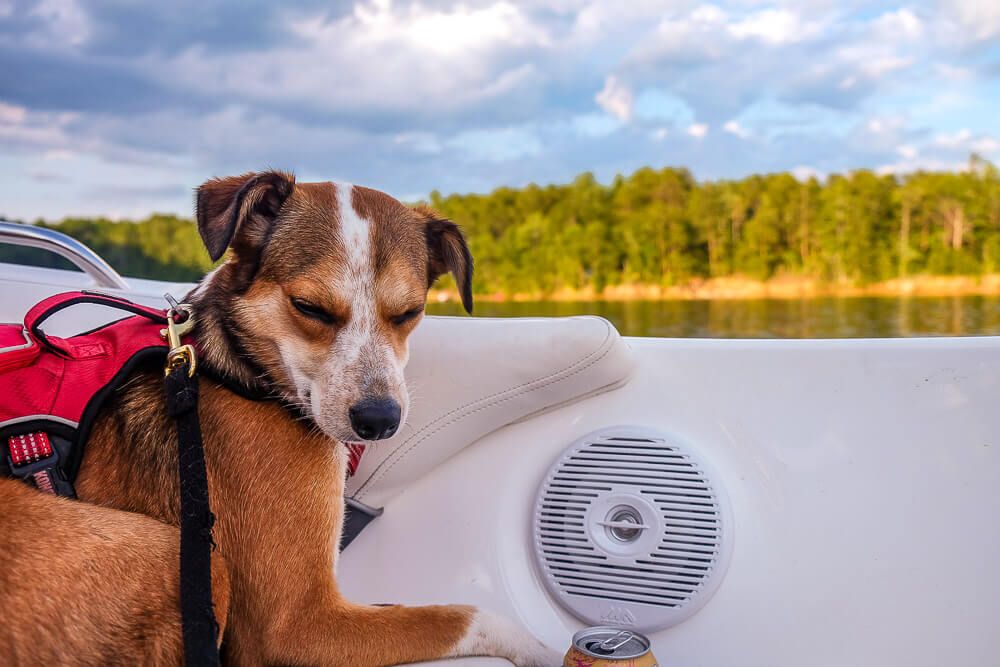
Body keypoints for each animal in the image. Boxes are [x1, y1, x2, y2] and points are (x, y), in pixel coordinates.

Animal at [0, 174, 564, 667]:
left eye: (409, 313)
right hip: (174, 555)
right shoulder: (297, 625)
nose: (380, 420)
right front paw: (546, 649)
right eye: (309, 307)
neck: (236, 365)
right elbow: (464, 615)